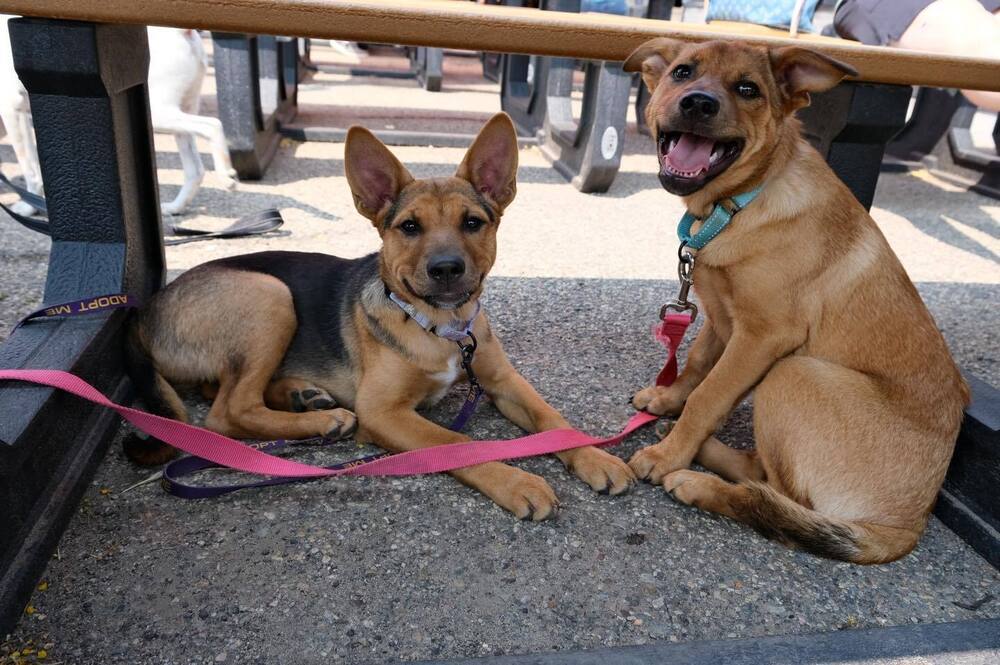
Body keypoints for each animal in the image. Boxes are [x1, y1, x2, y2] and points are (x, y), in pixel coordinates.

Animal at [125, 113, 632, 520]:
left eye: (473, 222)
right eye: (409, 227)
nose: (446, 269)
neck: (440, 328)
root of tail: (144, 313)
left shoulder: (504, 381)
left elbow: (553, 420)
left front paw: (597, 458)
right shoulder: (383, 412)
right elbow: (456, 443)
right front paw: (517, 482)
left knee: (222, 391)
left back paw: (301, 396)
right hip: (270, 294)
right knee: (226, 412)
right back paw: (320, 419)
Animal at [624, 40, 968, 560]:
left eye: (748, 89)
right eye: (682, 73)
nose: (698, 103)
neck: (740, 204)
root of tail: (908, 525)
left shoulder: (763, 337)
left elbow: (709, 395)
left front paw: (668, 455)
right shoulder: (721, 318)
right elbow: (698, 365)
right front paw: (668, 400)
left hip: (795, 372)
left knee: (772, 494)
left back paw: (695, 479)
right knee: (762, 475)